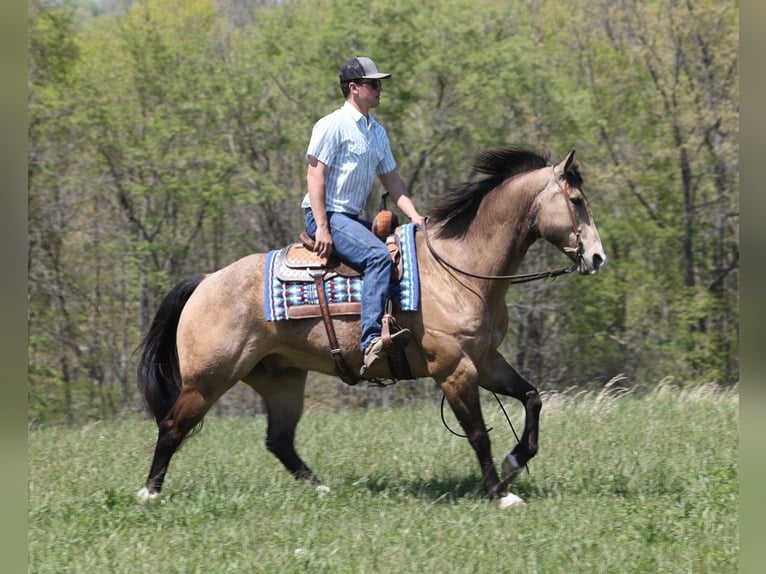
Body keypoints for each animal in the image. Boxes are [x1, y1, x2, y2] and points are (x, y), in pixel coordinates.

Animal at [136, 147, 608, 508]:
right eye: (576, 200)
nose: (597, 257)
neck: (459, 270)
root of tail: (205, 282)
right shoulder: (454, 369)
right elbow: (477, 432)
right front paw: (499, 492)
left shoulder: (487, 361)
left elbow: (532, 398)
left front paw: (515, 462)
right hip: (208, 379)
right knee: (173, 426)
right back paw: (149, 493)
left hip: (280, 379)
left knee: (279, 440)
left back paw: (322, 489)